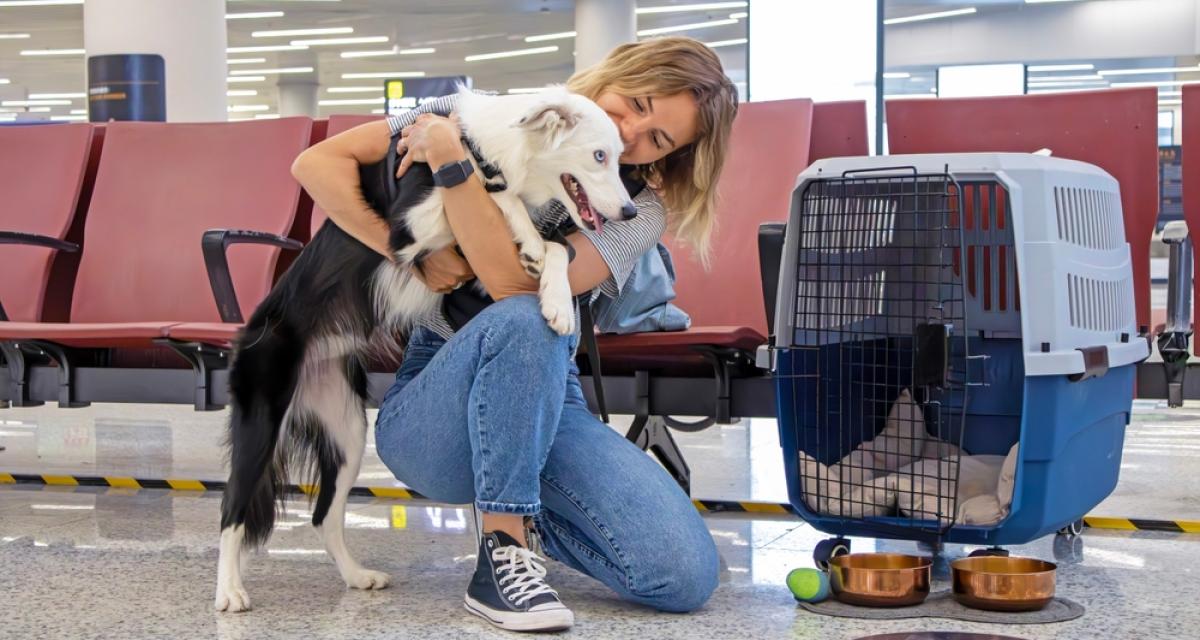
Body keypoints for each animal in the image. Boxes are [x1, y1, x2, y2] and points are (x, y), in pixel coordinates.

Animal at [214, 84, 633, 609]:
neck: (493, 147)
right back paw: (230, 591)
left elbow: (557, 246)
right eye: (599, 156)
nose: (630, 211)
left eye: (619, 157)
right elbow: (499, 196)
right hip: (261, 417)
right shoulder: (409, 228)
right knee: (232, 510)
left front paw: (554, 293)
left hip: (348, 431)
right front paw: (523, 227)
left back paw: (356, 576)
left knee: (323, 516)